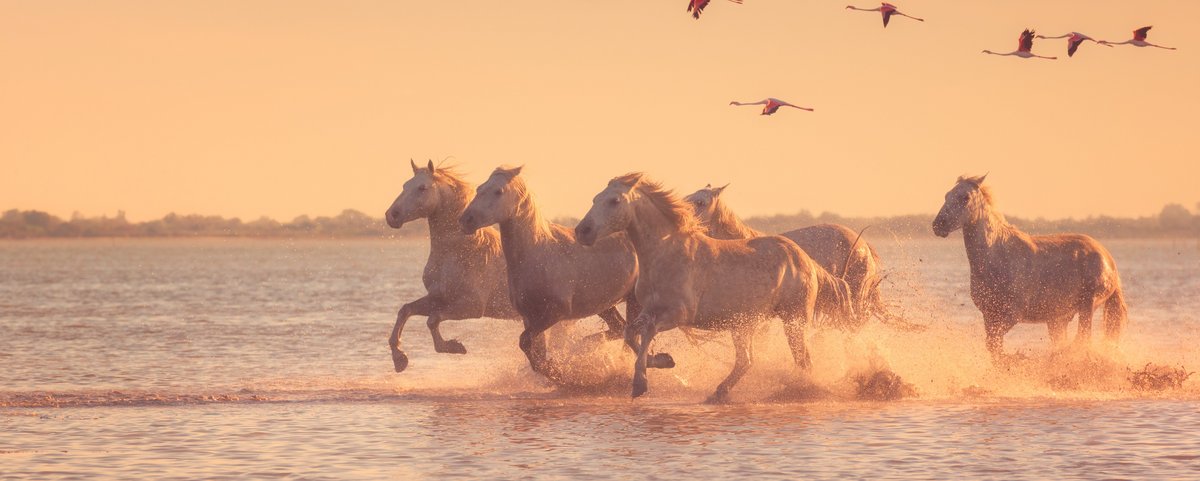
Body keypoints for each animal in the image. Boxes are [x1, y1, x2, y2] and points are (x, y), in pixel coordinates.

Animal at [383, 160, 519, 372]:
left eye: (422, 187)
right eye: (405, 185)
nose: (392, 215)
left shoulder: (472, 306)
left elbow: (433, 320)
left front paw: (454, 347)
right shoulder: (438, 297)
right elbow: (406, 310)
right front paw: (399, 359)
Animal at [459, 166, 670, 382]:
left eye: (498, 191)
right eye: (479, 188)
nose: (466, 219)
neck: (536, 253)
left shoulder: (555, 312)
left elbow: (525, 341)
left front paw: (558, 372)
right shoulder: (529, 316)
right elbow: (534, 350)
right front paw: (556, 371)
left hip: (633, 300)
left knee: (629, 334)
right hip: (604, 305)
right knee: (620, 328)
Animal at [576, 173, 824, 403]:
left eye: (614, 200)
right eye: (595, 198)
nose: (582, 231)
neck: (665, 252)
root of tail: (805, 259)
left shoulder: (678, 315)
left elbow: (648, 333)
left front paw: (640, 383)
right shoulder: (649, 310)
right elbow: (630, 333)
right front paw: (663, 360)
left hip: (793, 319)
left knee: (803, 360)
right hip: (744, 325)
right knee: (747, 360)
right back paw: (718, 392)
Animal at [932, 174, 1128, 361]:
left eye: (965, 197)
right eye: (946, 195)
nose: (938, 225)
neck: (997, 256)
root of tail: (1109, 261)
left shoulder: (1012, 314)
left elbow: (993, 344)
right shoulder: (989, 315)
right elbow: (993, 348)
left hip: (1087, 306)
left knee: (1082, 340)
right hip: (1058, 319)